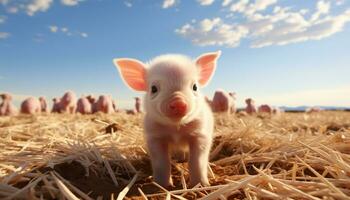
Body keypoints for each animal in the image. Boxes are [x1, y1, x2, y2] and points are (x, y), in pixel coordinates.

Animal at [113, 50, 220, 188]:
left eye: (195, 87)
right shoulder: (154, 137)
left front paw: (201, 185)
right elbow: (161, 163)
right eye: (153, 88)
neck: (176, 130)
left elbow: (197, 161)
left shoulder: (201, 134)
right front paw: (163, 186)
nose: (178, 101)